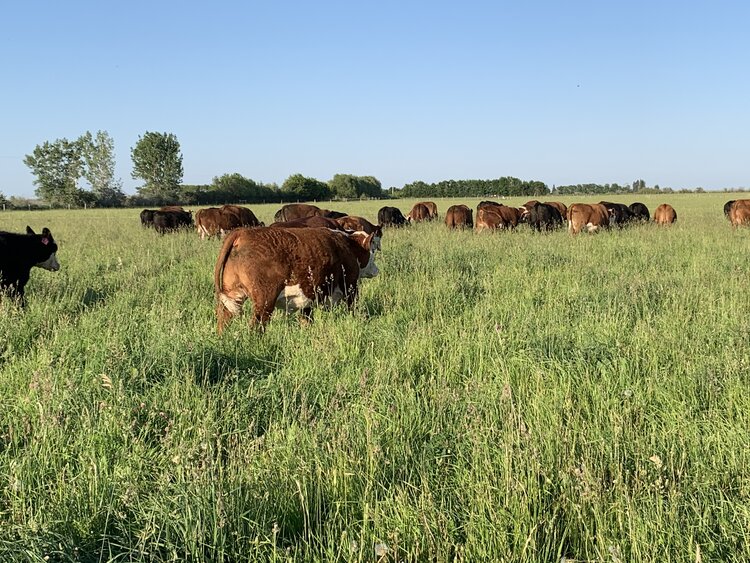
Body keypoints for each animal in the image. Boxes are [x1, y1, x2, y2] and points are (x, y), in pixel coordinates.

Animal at [216, 226, 382, 332]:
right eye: (373, 250)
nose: (377, 270)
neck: (348, 246)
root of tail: (242, 233)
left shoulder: (308, 295)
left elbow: (306, 318)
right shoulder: (351, 286)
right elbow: (353, 309)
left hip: (233, 294)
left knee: (224, 318)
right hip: (264, 301)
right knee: (256, 325)